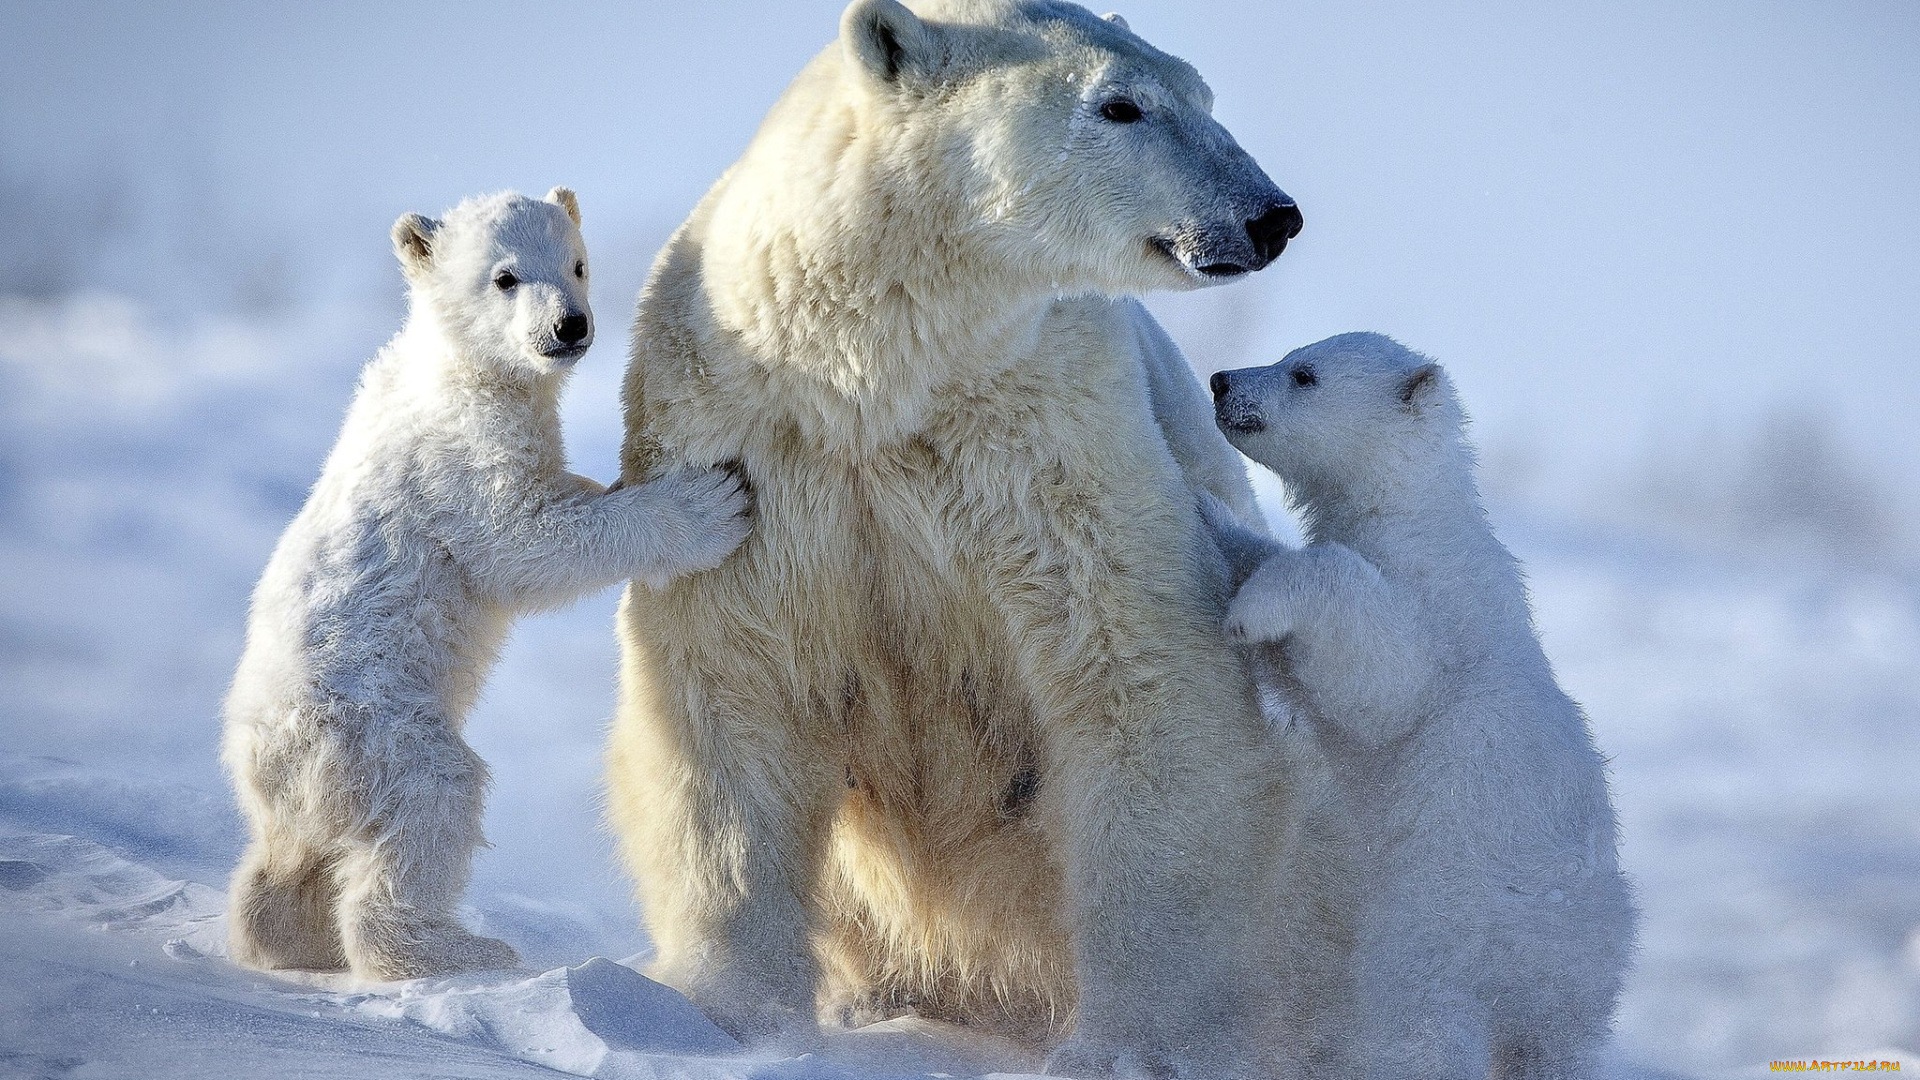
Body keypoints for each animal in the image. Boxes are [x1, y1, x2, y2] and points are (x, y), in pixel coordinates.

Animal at [610, 4, 1305, 1068]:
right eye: (1122, 104)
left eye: (1201, 91)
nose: (1271, 215)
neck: (878, 374)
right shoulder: (748, 449)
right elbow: (728, 691)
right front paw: (726, 1016)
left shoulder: (1051, 441)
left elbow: (1137, 677)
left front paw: (1132, 1045)